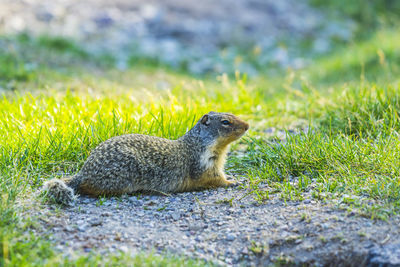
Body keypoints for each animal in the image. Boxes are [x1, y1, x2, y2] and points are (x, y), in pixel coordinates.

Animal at [43, 112, 250, 206]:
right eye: (225, 122)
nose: (248, 125)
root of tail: (84, 172)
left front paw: (234, 178)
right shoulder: (204, 164)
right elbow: (215, 179)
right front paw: (233, 182)